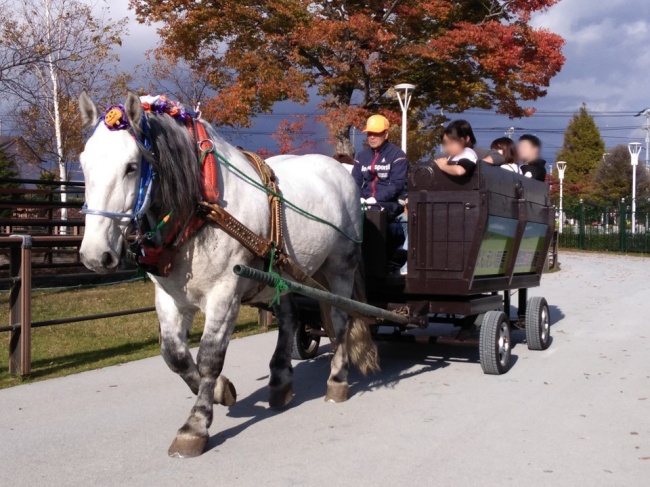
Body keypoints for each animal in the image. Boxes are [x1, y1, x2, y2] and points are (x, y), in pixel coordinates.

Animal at [78, 93, 378, 460]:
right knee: (290, 320)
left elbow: (209, 357)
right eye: (84, 163)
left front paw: (195, 425)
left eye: (131, 167)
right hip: (284, 273)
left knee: (339, 320)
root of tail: (340, 169)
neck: (198, 212)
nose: (96, 255)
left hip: (340, 268)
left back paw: (337, 380)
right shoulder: (169, 297)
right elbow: (174, 355)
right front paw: (222, 391)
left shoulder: (225, 293)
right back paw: (280, 381)